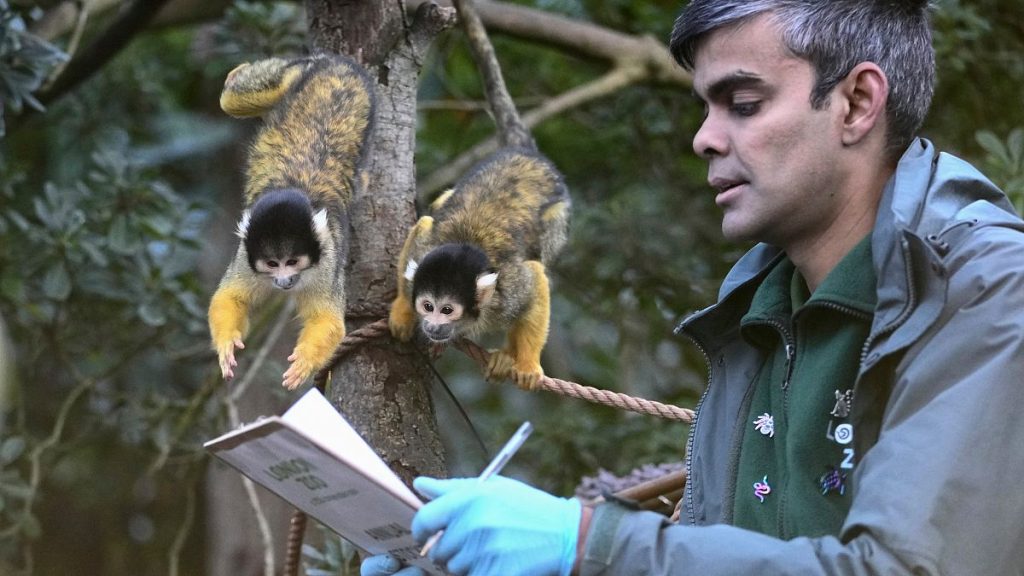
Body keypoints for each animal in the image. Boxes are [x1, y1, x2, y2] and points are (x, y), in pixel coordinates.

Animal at [208, 54, 375, 390]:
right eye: (273, 264)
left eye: (293, 262)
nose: (284, 281)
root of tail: (339, 65)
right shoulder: (246, 255)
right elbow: (229, 297)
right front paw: (227, 345)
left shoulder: (328, 257)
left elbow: (327, 319)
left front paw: (304, 363)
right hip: (301, 73)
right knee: (235, 99)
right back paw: (236, 75)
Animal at [388, 148, 570, 390]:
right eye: (427, 306)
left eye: (447, 310)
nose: (432, 327)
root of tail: (527, 154)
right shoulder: (423, 252)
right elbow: (423, 227)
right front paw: (403, 309)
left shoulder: (508, 293)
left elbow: (534, 277)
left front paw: (528, 364)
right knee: (434, 213)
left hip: (557, 219)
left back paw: (507, 356)